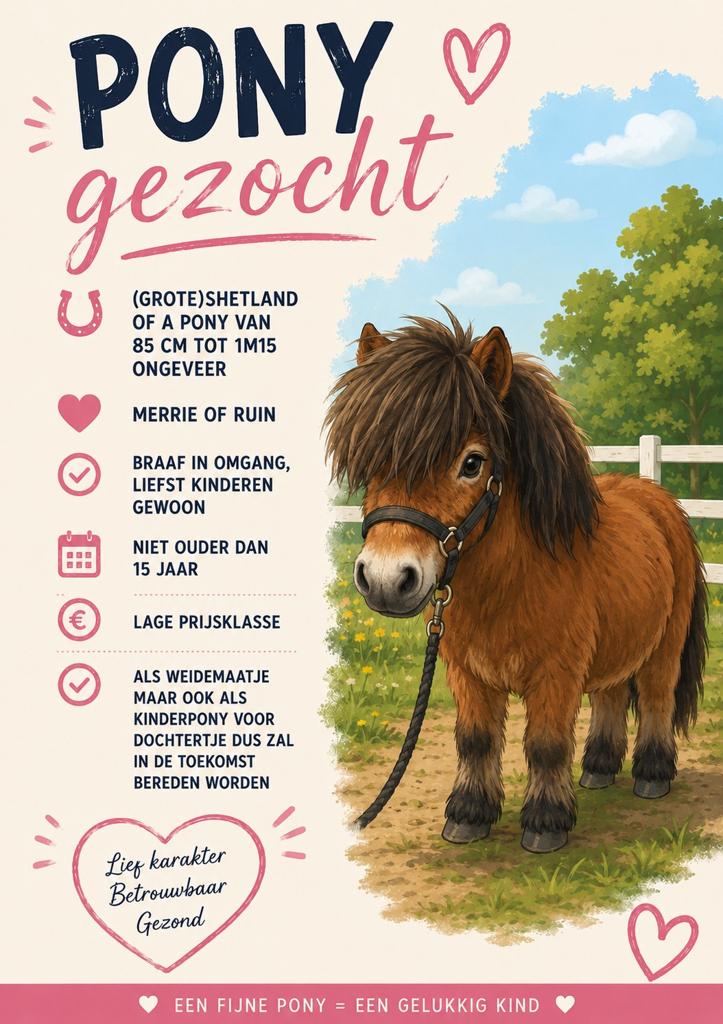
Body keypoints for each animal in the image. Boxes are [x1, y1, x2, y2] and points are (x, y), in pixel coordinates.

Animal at [325, 309, 707, 853]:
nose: (384, 579)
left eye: (472, 462)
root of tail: (659, 500)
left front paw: (545, 825)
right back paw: (597, 770)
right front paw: (468, 816)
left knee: (655, 697)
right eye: (374, 459)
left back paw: (652, 776)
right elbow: (475, 739)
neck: (512, 583)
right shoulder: (467, 673)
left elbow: (546, 745)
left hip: (665, 646)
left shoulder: (556, 675)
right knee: (611, 694)